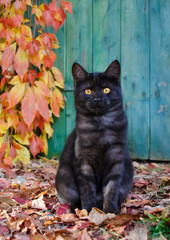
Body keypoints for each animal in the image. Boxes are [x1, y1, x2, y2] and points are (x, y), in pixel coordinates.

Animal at [55, 60, 133, 214]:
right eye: (88, 91)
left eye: (106, 90)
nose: (97, 99)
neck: (100, 125)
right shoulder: (84, 163)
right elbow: (87, 189)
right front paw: (89, 210)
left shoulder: (116, 160)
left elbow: (111, 188)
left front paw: (110, 210)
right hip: (65, 180)